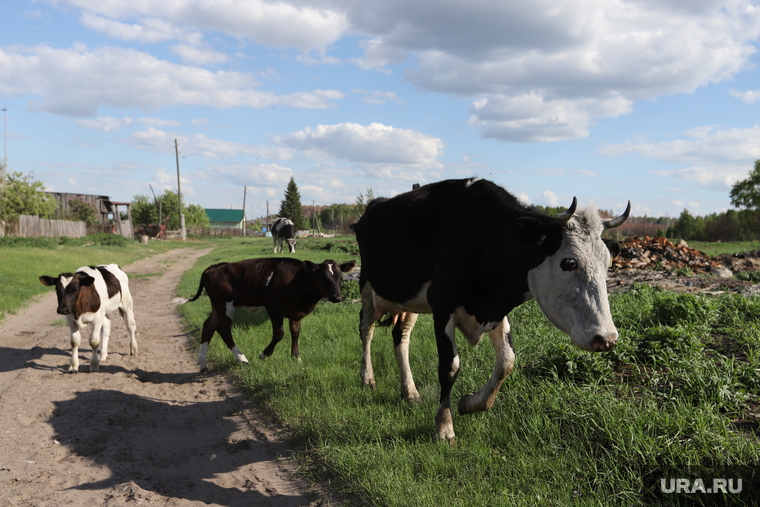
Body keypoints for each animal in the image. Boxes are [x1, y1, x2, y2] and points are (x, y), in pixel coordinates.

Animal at [177, 260, 358, 372]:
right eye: (323, 277)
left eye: (341, 277)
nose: (338, 297)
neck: (298, 280)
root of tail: (213, 267)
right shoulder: (274, 308)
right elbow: (279, 334)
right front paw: (264, 355)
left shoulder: (296, 313)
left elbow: (295, 333)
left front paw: (296, 358)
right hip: (225, 305)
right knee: (224, 330)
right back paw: (242, 359)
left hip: (217, 306)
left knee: (208, 326)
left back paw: (203, 363)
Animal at [352, 179, 628, 440]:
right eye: (570, 262)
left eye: (608, 263)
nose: (606, 338)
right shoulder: (443, 304)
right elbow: (449, 366)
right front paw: (444, 426)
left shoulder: (496, 309)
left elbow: (507, 361)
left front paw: (471, 403)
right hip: (366, 285)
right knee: (366, 329)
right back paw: (368, 379)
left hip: (408, 301)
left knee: (401, 336)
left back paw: (409, 391)